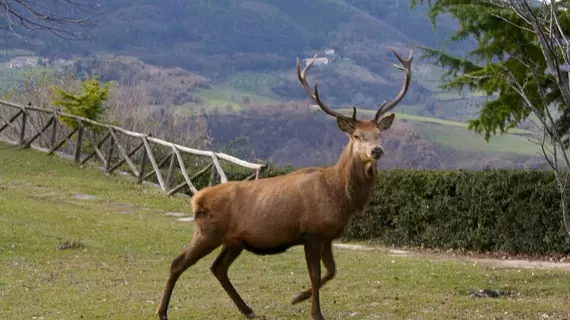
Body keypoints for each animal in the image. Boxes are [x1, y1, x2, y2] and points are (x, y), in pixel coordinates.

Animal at [155, 47, 412, 320]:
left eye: (379, 134)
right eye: (356, 135)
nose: (377, 150)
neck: (341, 198)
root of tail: (196, 199)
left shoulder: (328, 235)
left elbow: (332, 271)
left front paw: (298, 297)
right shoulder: (311, 232)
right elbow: (316, 274)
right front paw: (314, 311)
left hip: (233, 241)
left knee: (218, 268)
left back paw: (248, 310)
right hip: (207, 232)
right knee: (178, 262)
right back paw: (162, 311)